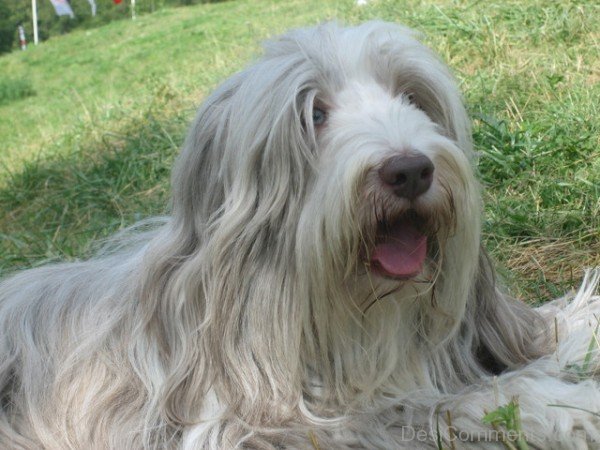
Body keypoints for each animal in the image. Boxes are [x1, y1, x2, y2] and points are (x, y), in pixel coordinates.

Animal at [1, 21, 600, 450]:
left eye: (412, 97)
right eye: (314, 113)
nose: (410, 170)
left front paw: (577, 328)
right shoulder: (262, 426)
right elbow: (426, 405)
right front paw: (565, 407)